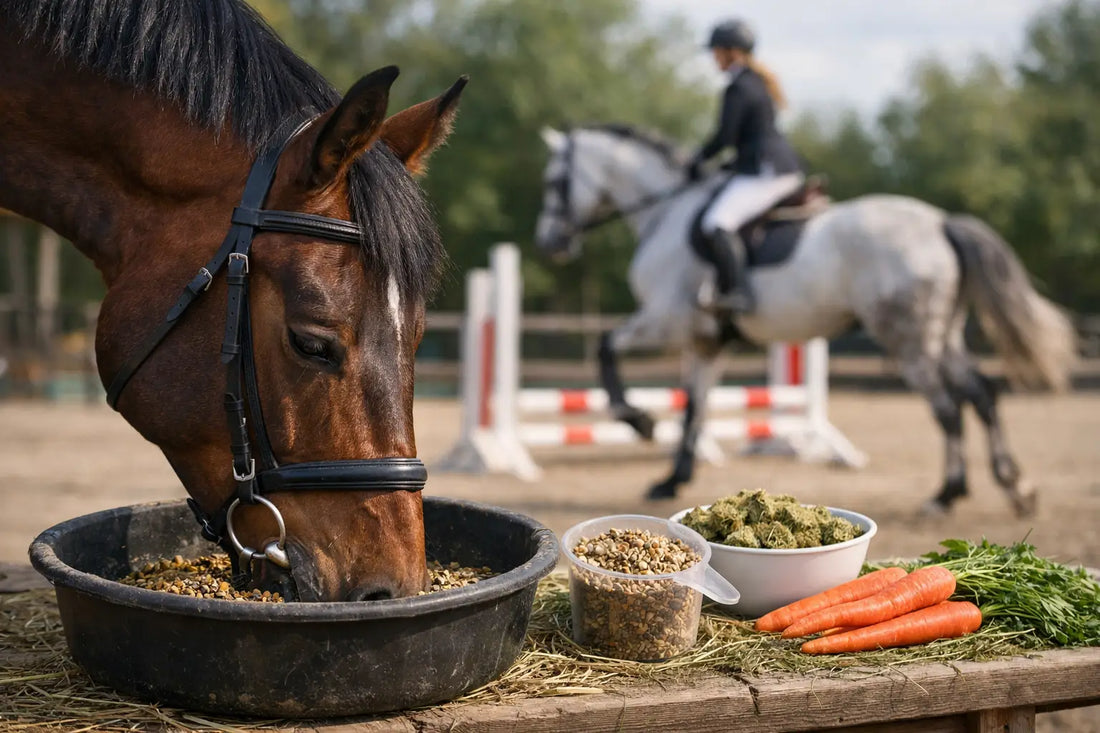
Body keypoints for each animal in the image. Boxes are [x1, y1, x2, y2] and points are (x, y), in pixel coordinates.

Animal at [535, 124, 1077, 517]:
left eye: (554, 182)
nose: (549, 243)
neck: (665, 214)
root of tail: (941, 222)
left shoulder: (667, 323)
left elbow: (607, 350)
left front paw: (640, 421)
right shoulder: (707, 342)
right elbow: (696, 407)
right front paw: (671, 480)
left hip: (909, 340)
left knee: (947, 407)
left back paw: (946, 495)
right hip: (941, 336)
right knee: (981, 394)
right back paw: (1016, 487)